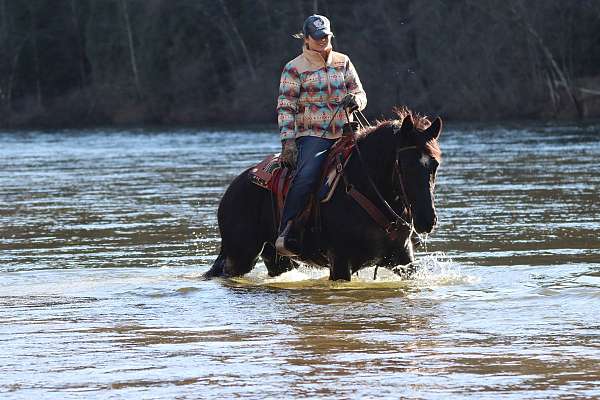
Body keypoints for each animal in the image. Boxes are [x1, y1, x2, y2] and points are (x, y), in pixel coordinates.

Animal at [204, 108, 442, 280]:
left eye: (435, 164)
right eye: (404, 165)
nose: (427, 220)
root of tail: (232, 189)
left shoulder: (403, 259)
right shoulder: (340, 262)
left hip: (276, 259)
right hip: (240, 255)